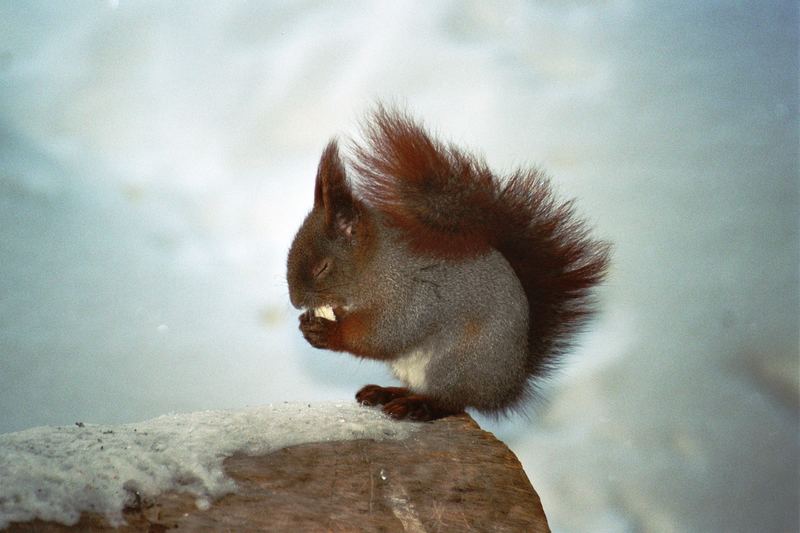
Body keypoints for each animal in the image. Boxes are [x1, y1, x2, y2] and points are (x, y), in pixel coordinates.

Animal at [284, 107, 608, 420]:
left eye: (322, 267)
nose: (296, 301)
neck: (375, 265)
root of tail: (506, 387)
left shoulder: (410, 296)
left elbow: (384, 335)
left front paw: (329, 333)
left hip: (455, 363)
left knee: (452, 402)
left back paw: (417, 407)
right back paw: (388, 393)